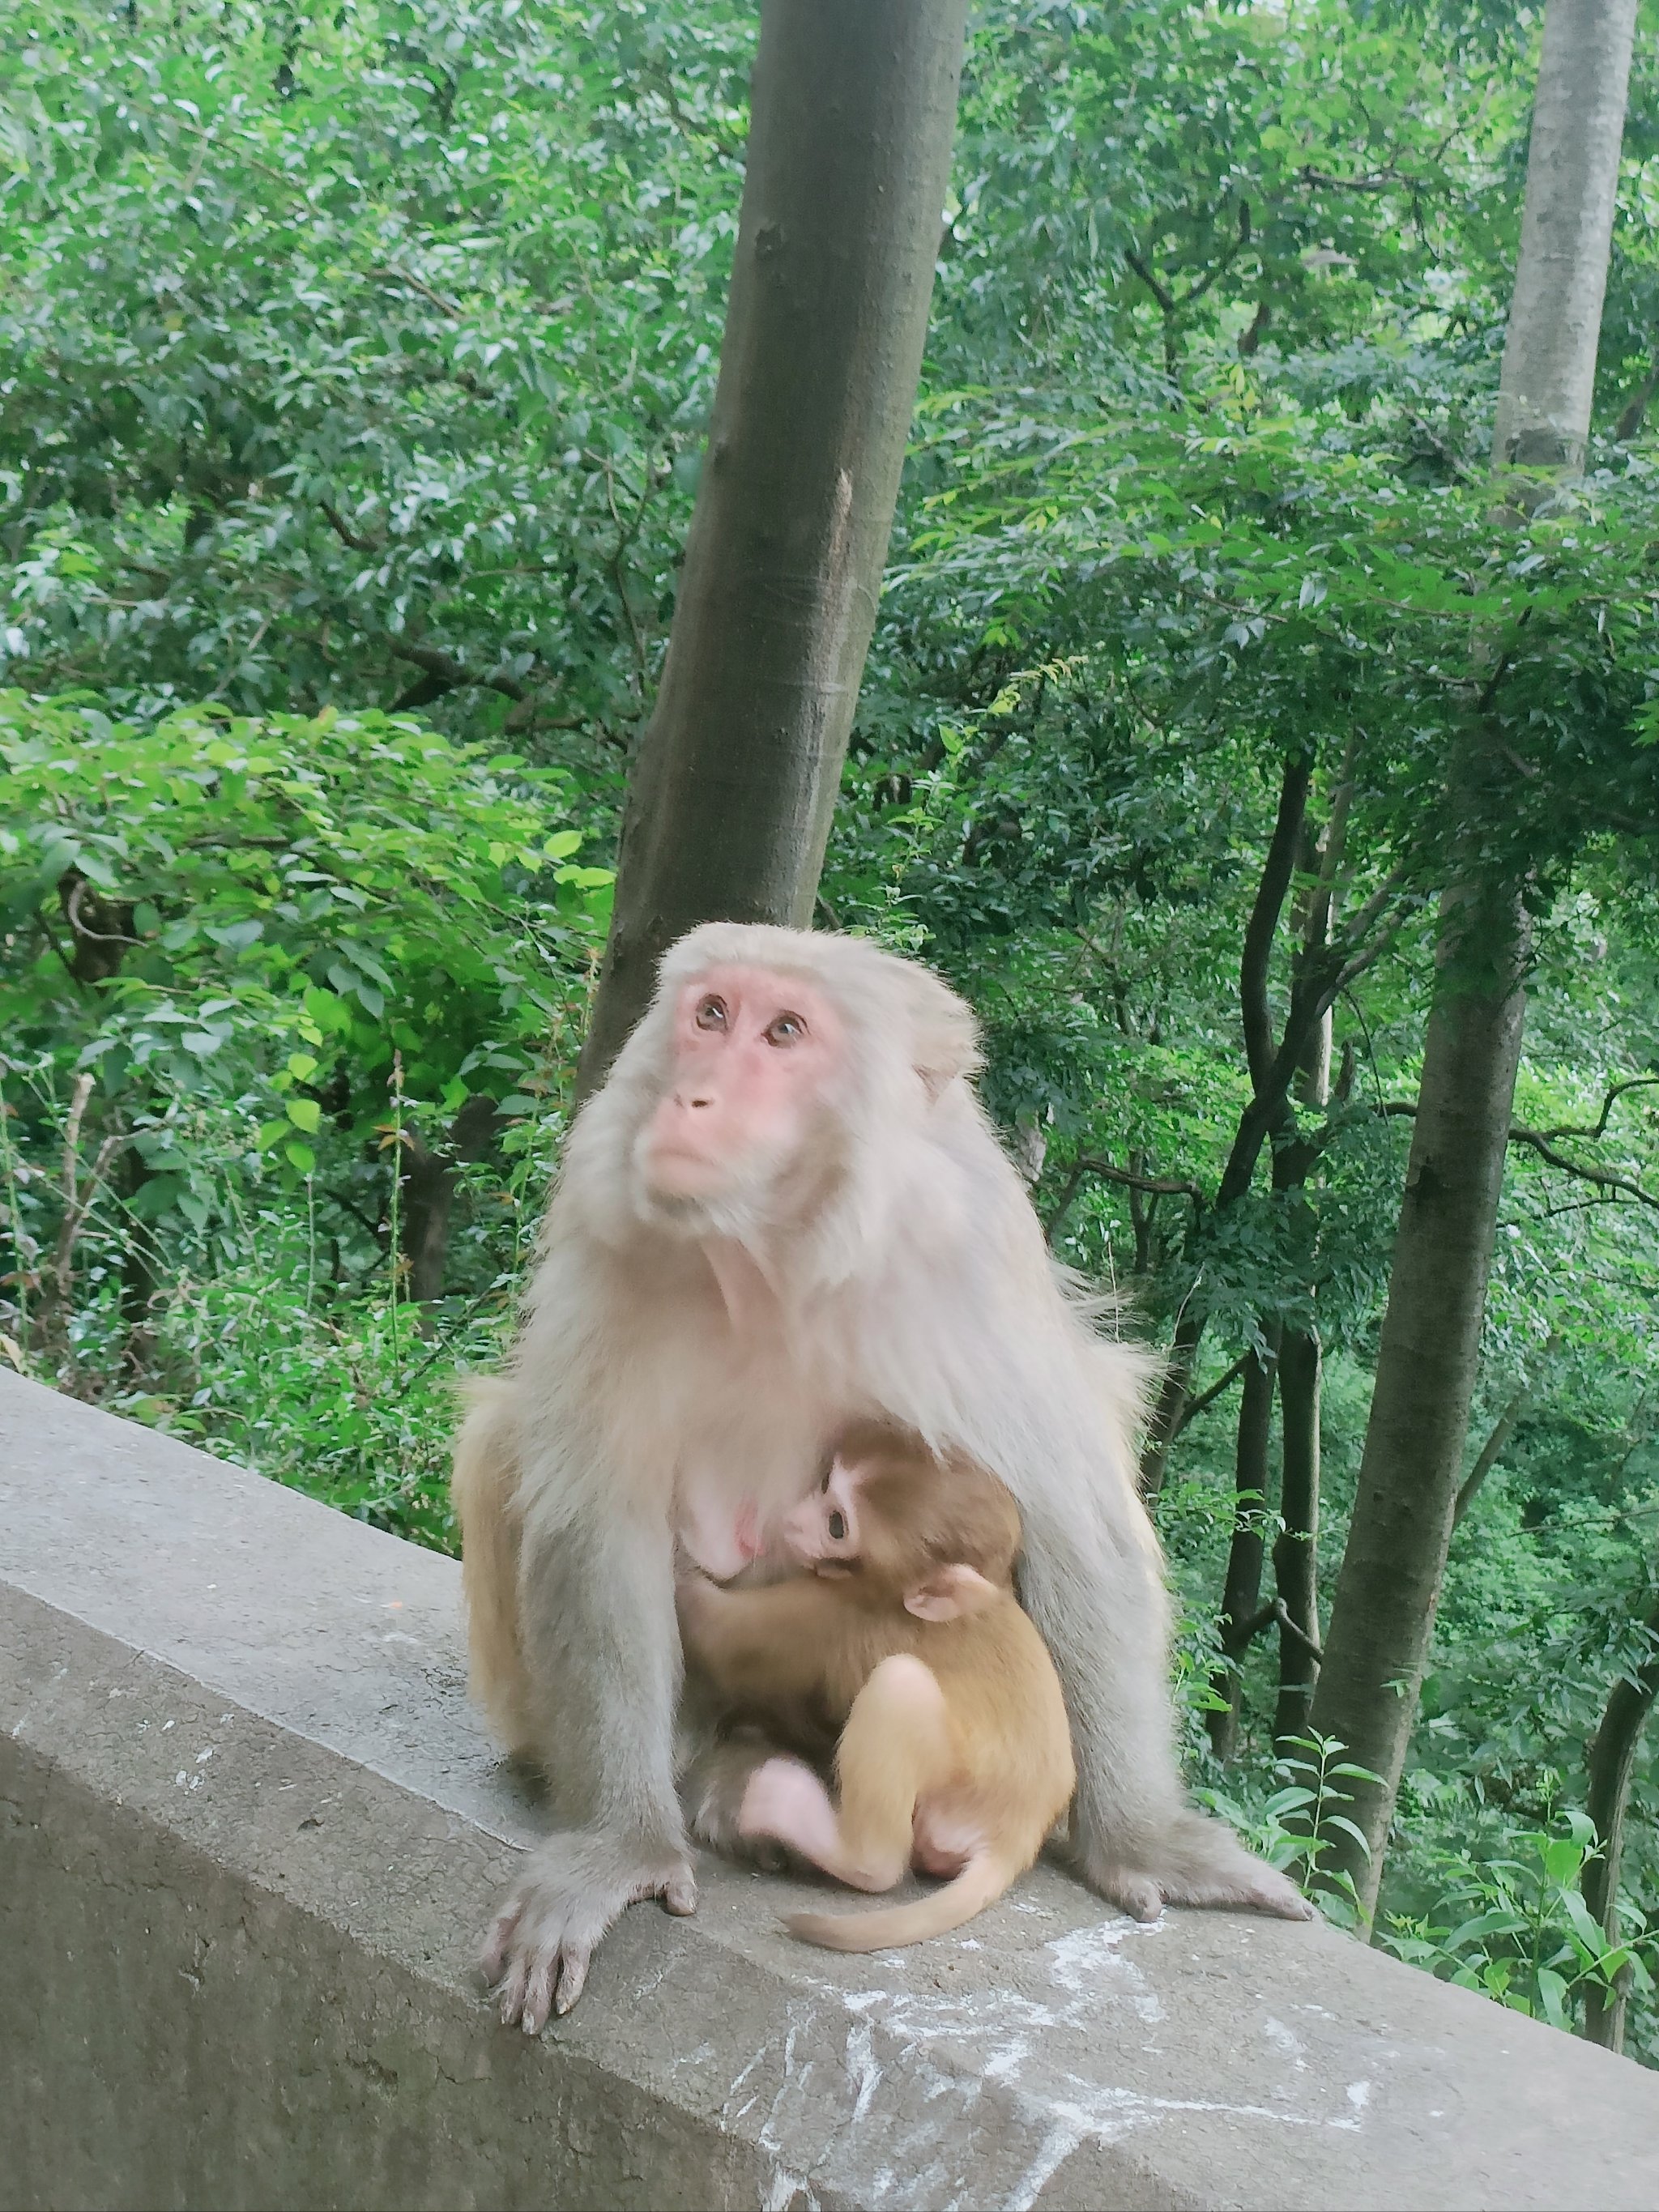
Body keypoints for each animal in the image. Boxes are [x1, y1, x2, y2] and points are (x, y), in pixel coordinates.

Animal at [455, 920, 1309, 2035]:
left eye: (784, 1031)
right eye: (711, 1014)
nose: (693, 1097)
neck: (772, 1251)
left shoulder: (973, 1246)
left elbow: (1074, 1517)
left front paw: (1140, 1838)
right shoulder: (605, 1223)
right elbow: (595, 1519)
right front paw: (618, 1849)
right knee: (508, 1433)